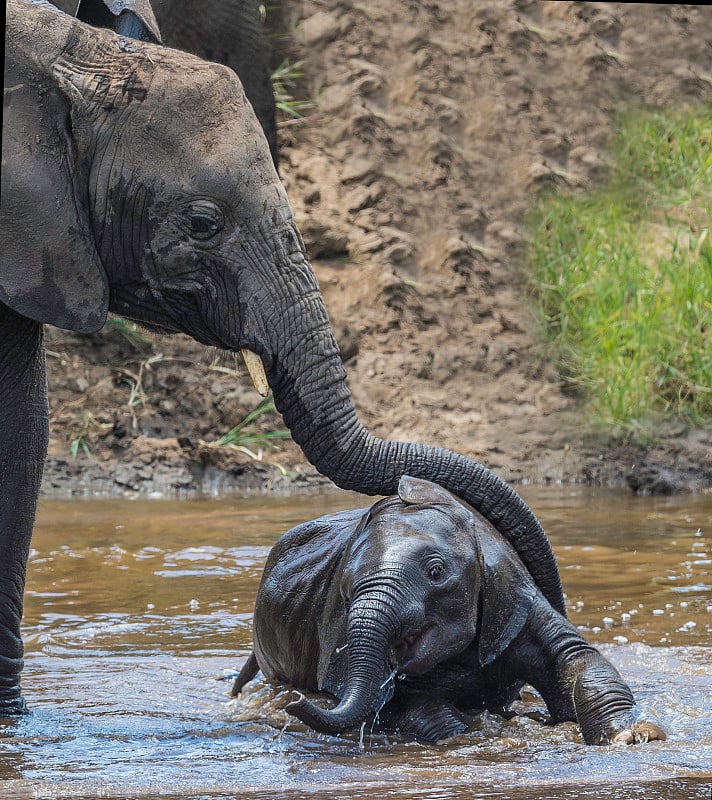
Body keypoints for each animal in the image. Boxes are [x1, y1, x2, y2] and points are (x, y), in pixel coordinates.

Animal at [235, 476, 668, 744]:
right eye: (344, 592)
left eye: (436, 571)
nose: (297, 701)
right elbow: (400, 707)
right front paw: (470, 735)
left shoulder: (512, 595)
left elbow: (576, 658)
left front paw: (632, 737)